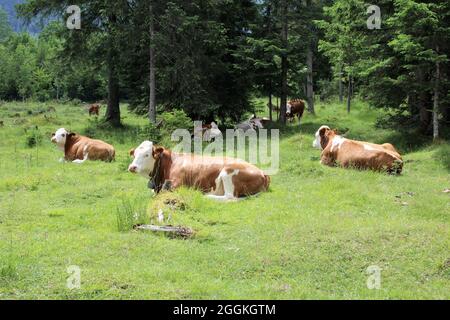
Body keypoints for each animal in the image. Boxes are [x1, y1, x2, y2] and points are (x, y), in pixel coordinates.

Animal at [127, 141, 270, 200]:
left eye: (146, 154)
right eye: (134, 155)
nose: (132, 167)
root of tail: (262, 172)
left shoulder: (177, 185)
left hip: (228, 172)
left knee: (229, 197)